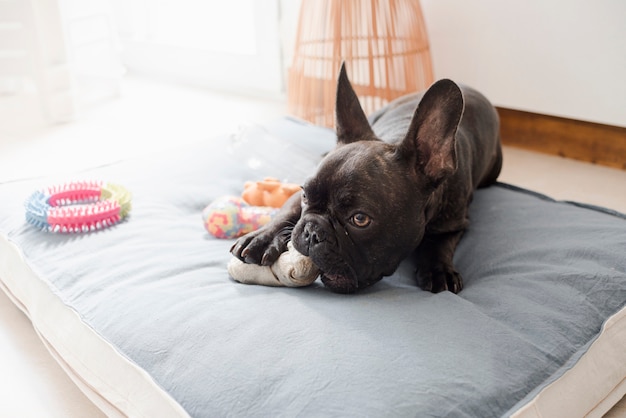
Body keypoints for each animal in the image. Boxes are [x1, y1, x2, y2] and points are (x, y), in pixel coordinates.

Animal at [232, 64, 500, 294]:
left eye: (360, 219)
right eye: (306, 195)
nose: (311, 231)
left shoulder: (455, 222)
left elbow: (440, 244)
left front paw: (438, 270)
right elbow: (287, 210)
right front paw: (262, 238)